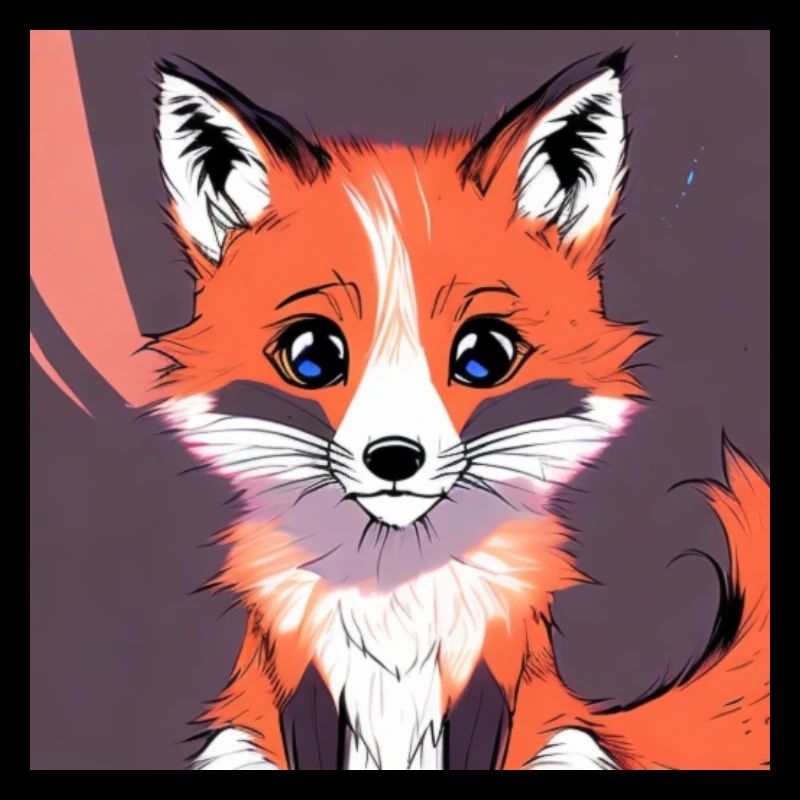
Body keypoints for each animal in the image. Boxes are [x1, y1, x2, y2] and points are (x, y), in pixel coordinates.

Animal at [31, 38, 770, 770]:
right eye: (312, 356)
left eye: (484, 355)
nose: (393, 458)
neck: (396, 595)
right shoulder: (302, 674)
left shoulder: (489, 671)